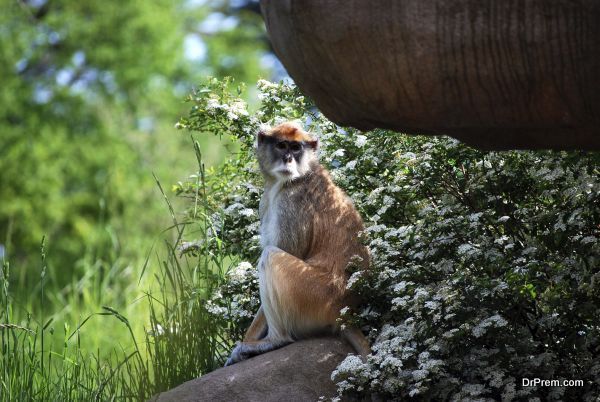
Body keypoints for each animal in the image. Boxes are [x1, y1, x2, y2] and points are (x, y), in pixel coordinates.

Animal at [226, 121, 370, 364]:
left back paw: (275, 340)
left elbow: (285, 250)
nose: (288, 159)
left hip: (314, 296)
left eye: (296, 148)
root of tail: (344, 310)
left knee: (271, 256)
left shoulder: (292, 201)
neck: (302, 174)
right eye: (282, 146)